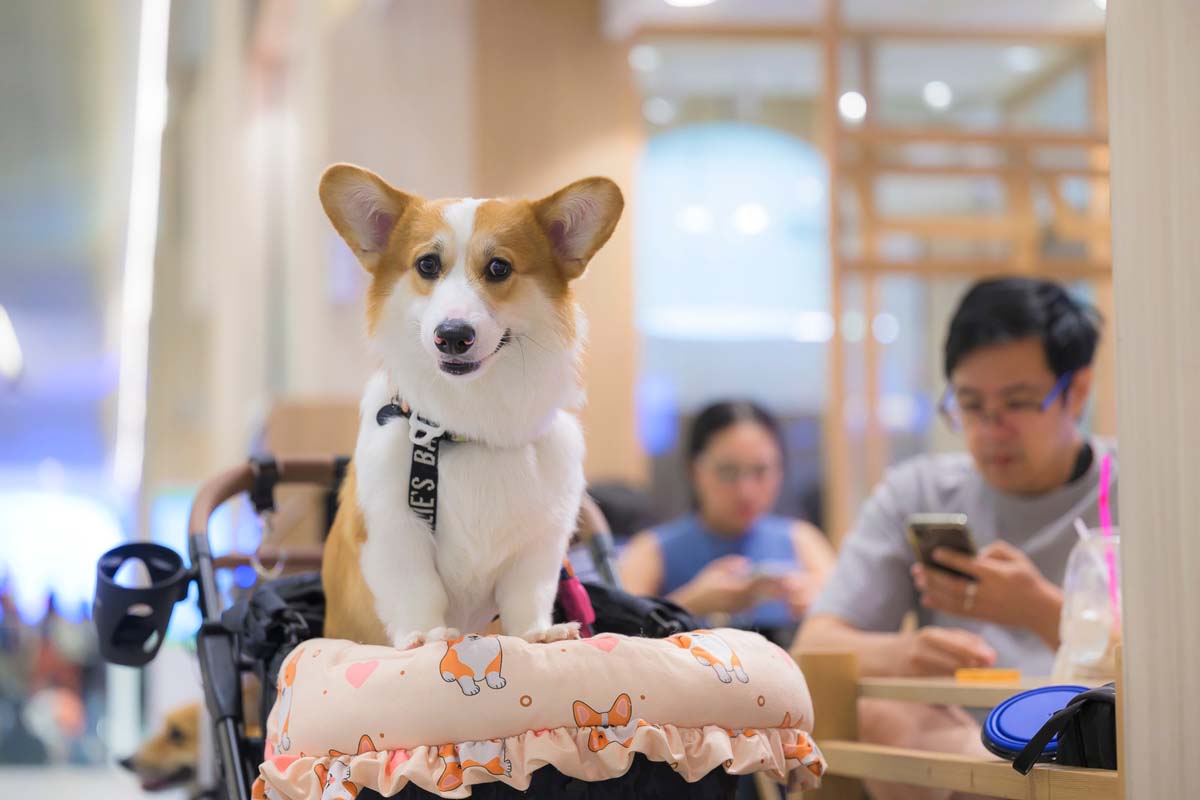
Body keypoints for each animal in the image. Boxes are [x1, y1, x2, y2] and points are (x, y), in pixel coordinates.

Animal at [318, 164, 623, 649]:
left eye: (499, 267)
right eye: (427, 264)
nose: (453, 335)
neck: (467, 424)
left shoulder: (542, 542)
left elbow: (526, 596)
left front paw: (538, 634)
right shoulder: (391, 530)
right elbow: (417, 590)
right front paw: (424, 636)